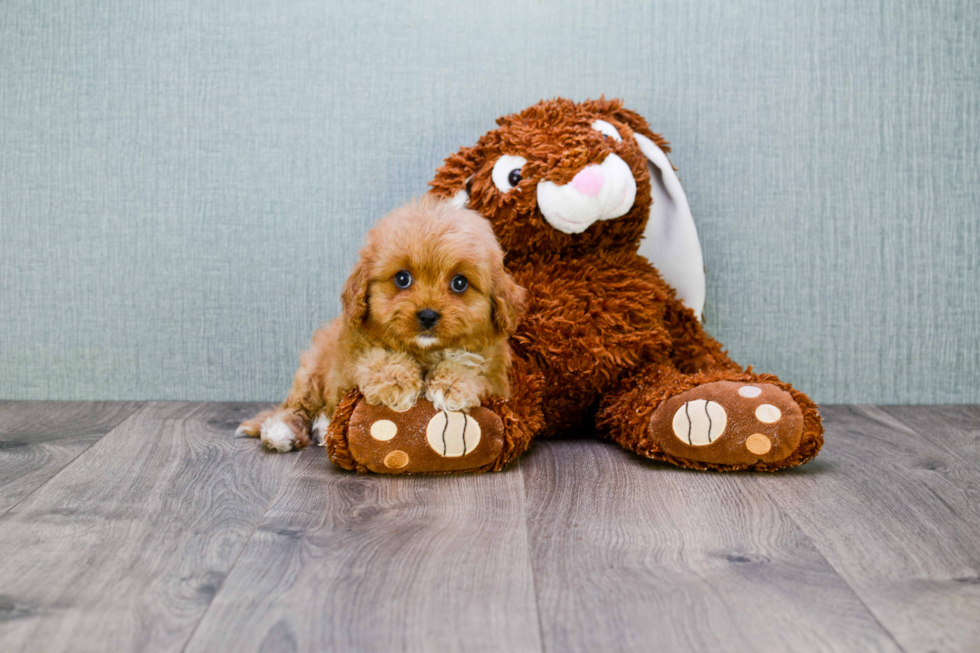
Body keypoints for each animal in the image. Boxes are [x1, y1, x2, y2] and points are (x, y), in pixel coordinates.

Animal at [238, 194, 528, 450]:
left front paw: (452, 385)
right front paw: (397, 380)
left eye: (460, 283)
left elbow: (473, 365)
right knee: (297, 406)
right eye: (402, 278)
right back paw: (283, 430)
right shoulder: (349, 360)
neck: (424, 352)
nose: (427, 314)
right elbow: (375, 358)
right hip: (311, 371)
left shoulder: (497, 379)